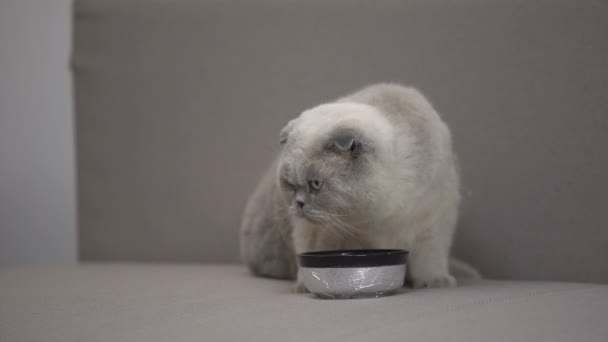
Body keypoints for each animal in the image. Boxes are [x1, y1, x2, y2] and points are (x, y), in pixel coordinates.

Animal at [239, 83, 480, 292]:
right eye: (290, 184)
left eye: (315, 184)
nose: (298, 204)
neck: (377, 219)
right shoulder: (314, 231)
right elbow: (309, 256)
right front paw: (305, 286)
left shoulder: (433, 221)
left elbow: (430, 258)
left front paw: (434, 282)